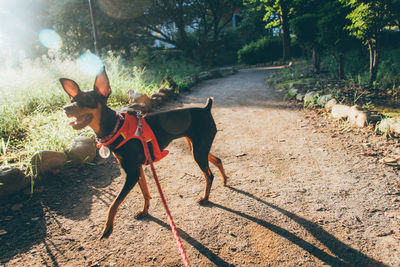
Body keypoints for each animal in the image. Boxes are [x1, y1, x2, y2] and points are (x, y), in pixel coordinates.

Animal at [59, 69, 228, 239]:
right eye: (72, 99)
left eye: (88, 99)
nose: (65, 108)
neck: (116, 127)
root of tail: (206, 108)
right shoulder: (138, 169)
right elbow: (145, 192)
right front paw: (145, 211)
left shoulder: (132, 173)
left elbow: (113, 204)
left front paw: (107, 228)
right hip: (197, 147)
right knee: (217, 160)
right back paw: (225, 180)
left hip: (198, 151)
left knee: (209, 175)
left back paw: (206, 198)